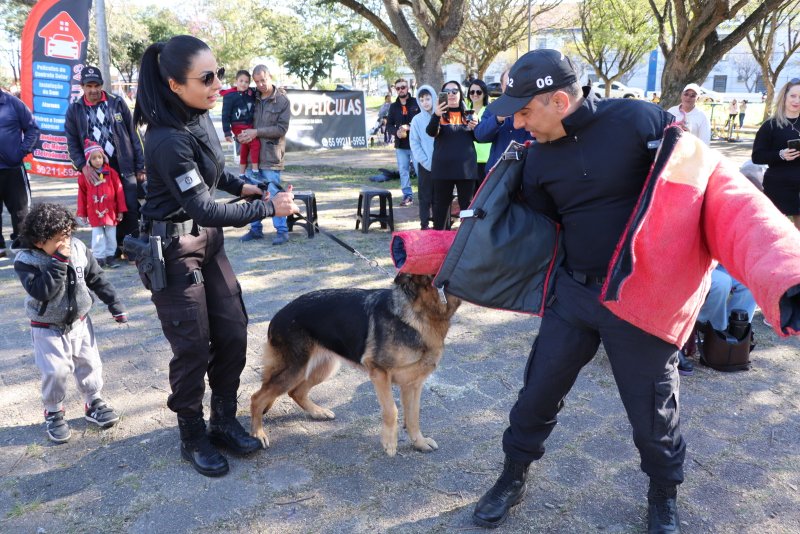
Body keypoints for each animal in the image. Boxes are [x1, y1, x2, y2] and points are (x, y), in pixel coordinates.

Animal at [250, 276, 462, 456]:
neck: (417, 312)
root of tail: (278, 315)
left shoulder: (413, 384)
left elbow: (413, 416)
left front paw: (419, 442)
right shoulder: (379, 373)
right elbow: (391, 410)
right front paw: (389, 443)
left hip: (324, 368)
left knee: (296, 392)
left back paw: (318, 412)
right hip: (295, 370)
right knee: (257, 398)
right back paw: (258, 434)